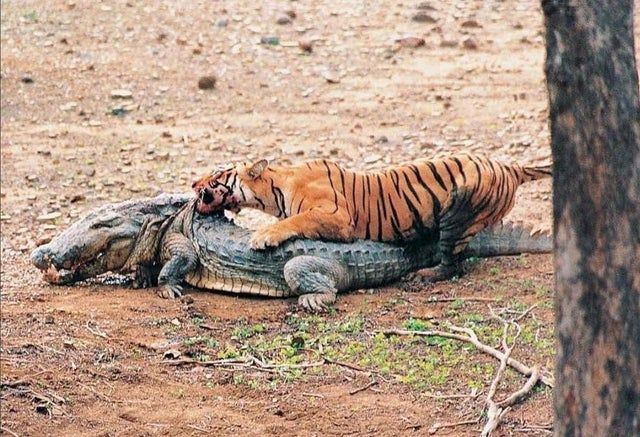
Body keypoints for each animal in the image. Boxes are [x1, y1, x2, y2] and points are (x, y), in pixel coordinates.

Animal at [191, 155, 552, 282]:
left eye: (217, 175)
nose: (193, 184)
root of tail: (510, 166)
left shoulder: (337, 217)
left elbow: (295, 221)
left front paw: (263, 236)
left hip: (458, 210)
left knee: (453, 263)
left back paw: (423, 276)